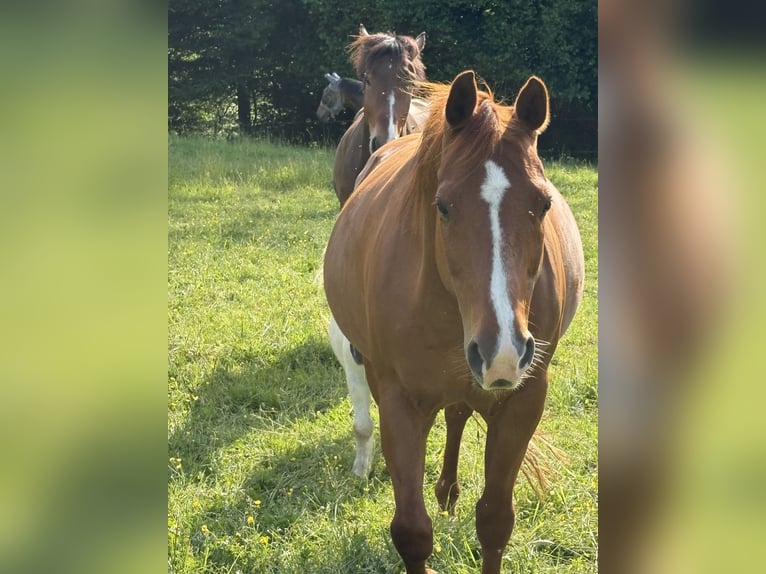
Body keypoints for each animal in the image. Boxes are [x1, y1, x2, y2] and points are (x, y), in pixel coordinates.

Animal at [324, 71, 585, 574]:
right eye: (442, 206)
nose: (502, 350)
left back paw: (447, 490)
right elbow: (411, 531)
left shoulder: (522, 403)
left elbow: (495, 521)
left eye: (544, 204)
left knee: (459, 411)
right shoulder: (399, 403)